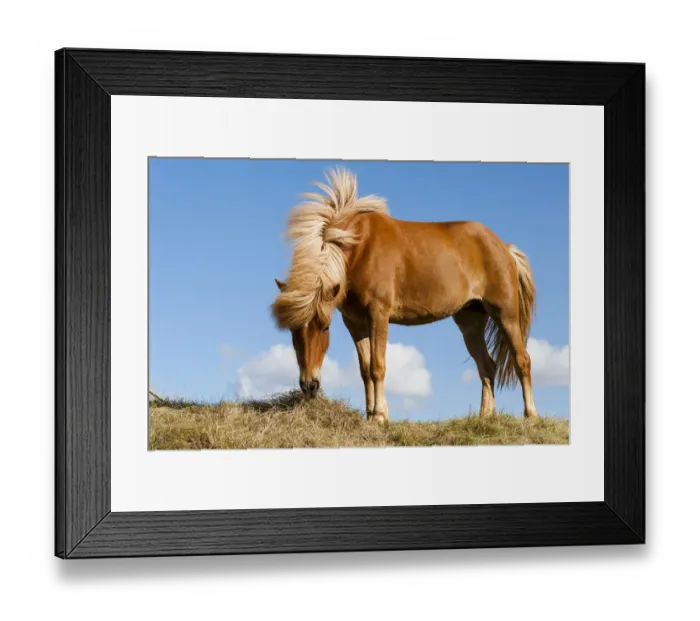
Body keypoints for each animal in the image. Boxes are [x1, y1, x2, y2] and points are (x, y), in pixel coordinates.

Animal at [271, 167, 538, 423]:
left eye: (325, 327)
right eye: (293, 330)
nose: (310, 386)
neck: (359, 248)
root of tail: (504, 247)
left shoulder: (378, 313)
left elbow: (378, 366)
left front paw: (380, 415)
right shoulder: (354, 322)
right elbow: (365, 369)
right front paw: (370, 415)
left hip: (505, 314)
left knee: (522, 359)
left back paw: (531, 414)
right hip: (470, 321)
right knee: (487, 366)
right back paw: (485, 416)